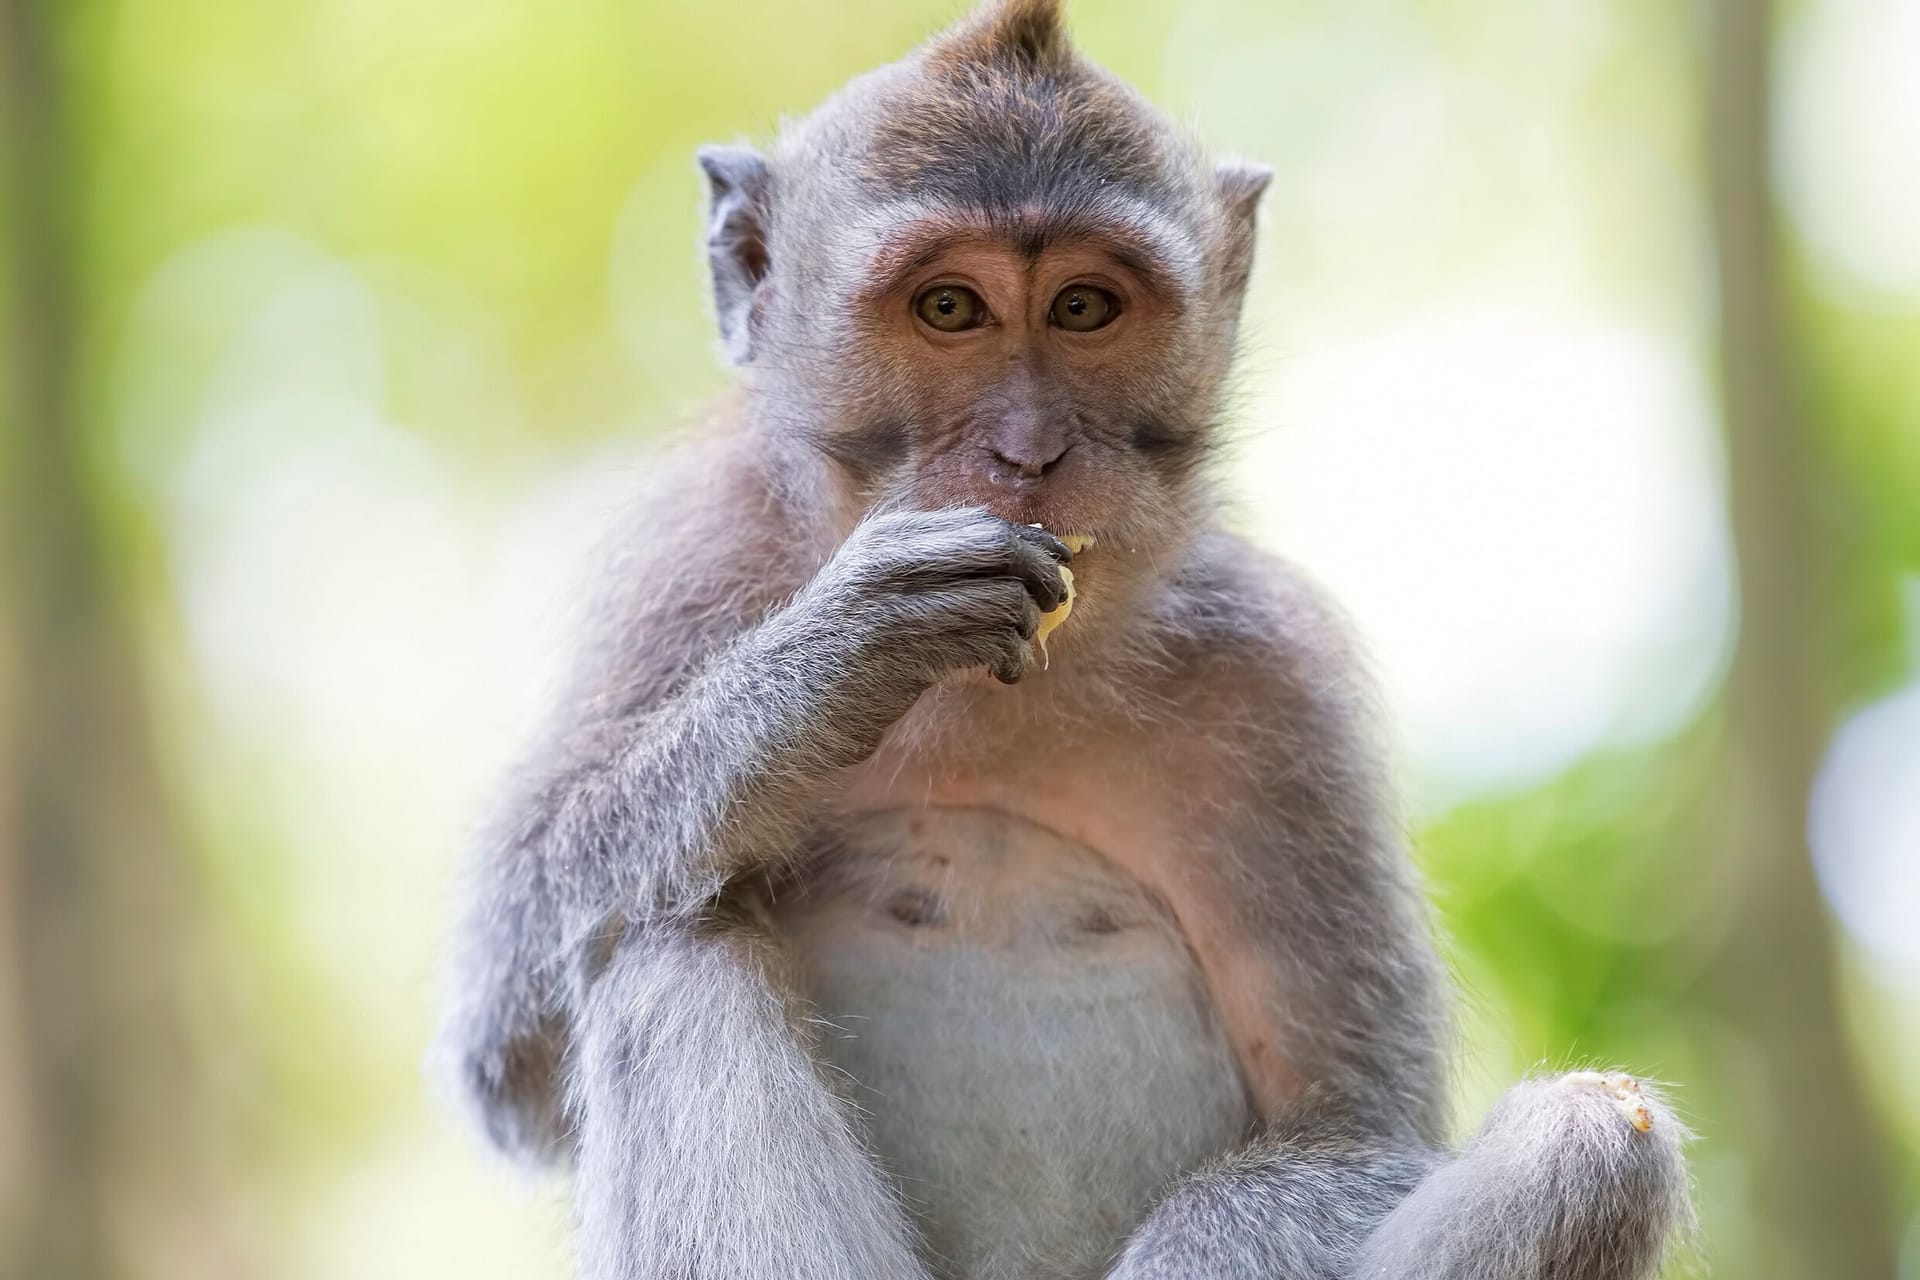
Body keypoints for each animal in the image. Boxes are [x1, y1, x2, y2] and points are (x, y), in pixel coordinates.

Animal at [435, 0, 1697, 1274]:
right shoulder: (687, 560)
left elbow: (1353, 1124)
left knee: (1602, 1136)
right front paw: (839, 658)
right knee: (663, 931)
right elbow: (511, 1043)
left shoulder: (1277, 681)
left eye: (1084, 307)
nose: (1031, 451)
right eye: (950, 307)